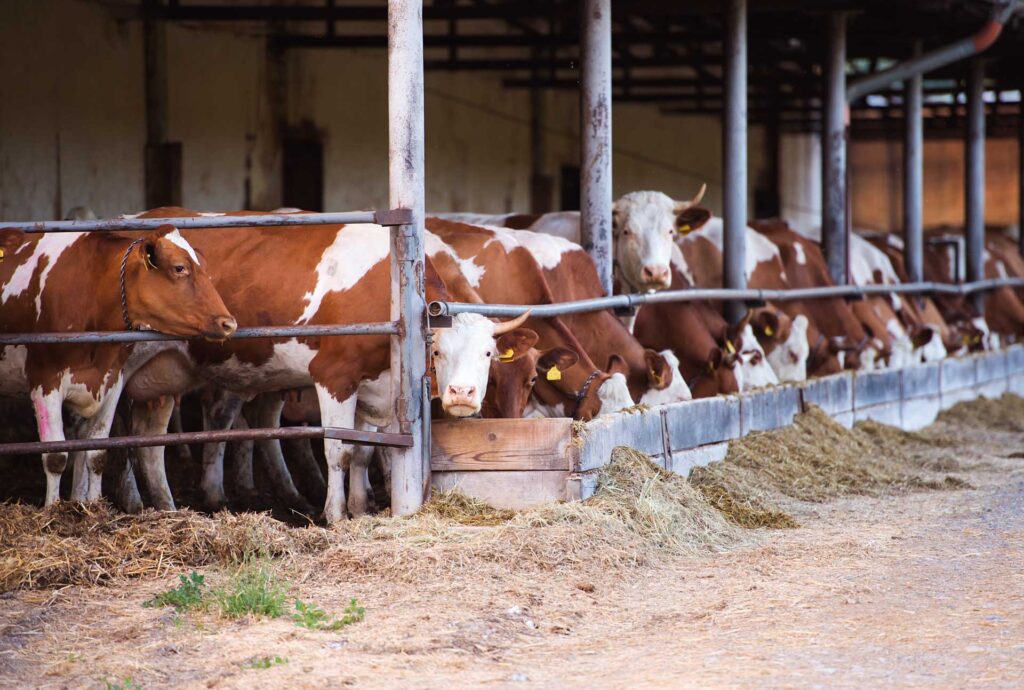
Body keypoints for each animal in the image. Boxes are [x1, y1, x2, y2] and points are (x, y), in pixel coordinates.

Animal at [0, 223, 234, 501]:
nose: (229, 323)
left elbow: (97, 453)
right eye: (179, 268)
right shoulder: (44, 382)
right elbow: (56, 457)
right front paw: (53, 508)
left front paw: (94, 505)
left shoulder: (112, 381)